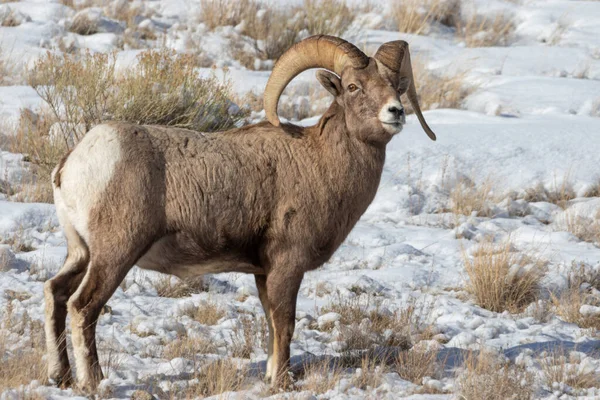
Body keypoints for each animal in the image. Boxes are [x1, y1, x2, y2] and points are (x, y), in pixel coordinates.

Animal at [42, 34, 436, 390]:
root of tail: (73, 163)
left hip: (81, 253)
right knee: (83, 307)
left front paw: (271, 375)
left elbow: (271, 324)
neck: (319, 161)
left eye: (395, 86)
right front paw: (282, 383)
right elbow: (285, 323)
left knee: (55, 293)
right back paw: (94, 384)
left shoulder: (263, 272)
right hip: (116, 253)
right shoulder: (286, 265)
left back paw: (61, 377)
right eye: (354, 86)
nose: (395, 112)